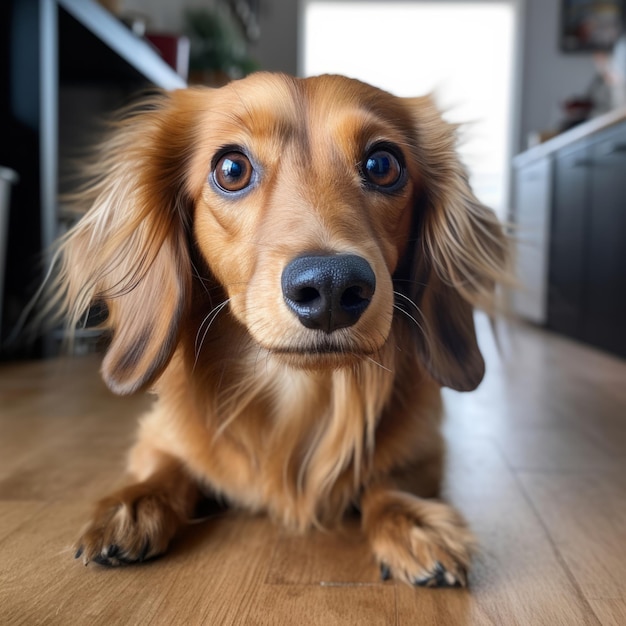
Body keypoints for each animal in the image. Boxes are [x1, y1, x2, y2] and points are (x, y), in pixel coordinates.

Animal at [51, 72, 510, 584]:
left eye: (383, 164)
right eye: (231, 168)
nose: (331, 285)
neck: (298, 393)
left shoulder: (426, 447)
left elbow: (389, 478)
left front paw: (411, 520)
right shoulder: (158, 434)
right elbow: (166, 466)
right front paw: (133, 505)